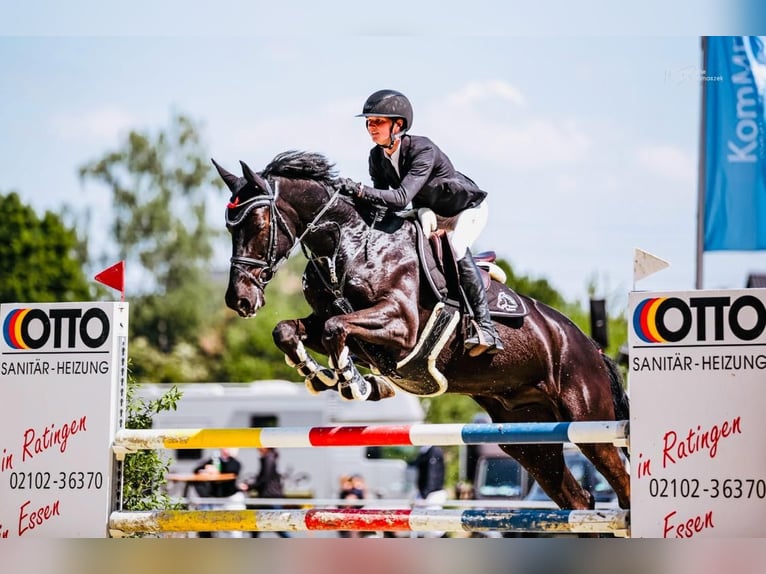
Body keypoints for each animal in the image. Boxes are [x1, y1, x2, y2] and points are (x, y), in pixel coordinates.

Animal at [214, 150, 630, 513]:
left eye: (259, 224)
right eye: (229, 228)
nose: (239, 300)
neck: (344, 244)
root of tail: (590, 346)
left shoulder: (400, 326)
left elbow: (336, 330)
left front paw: (356, 383)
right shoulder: (329, 322)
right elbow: (290, 331)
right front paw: (322, 376)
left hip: (589, 420)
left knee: (621, 484)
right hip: (528, 438)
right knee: (577, 499)